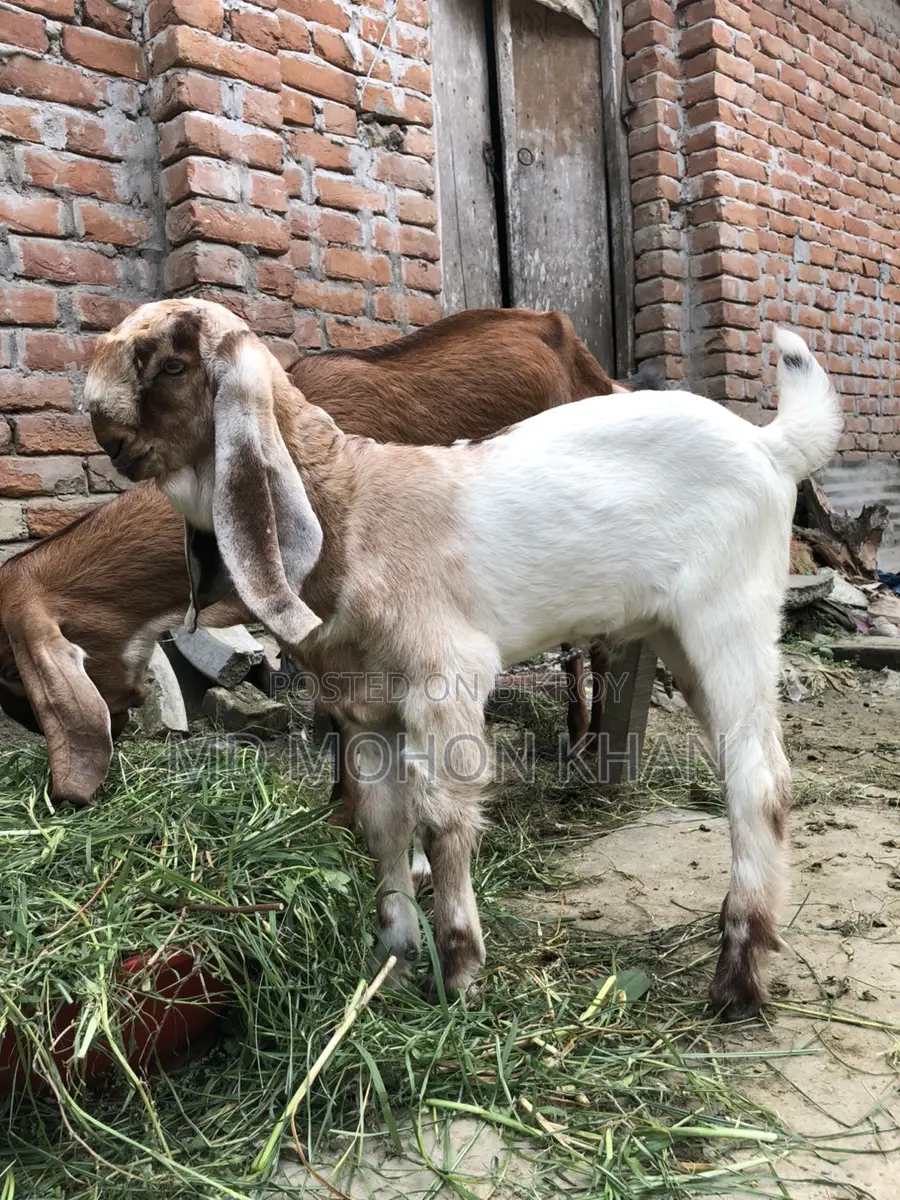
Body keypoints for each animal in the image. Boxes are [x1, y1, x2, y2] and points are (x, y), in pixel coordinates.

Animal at [85, 298, 842, 1020]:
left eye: (172, 364)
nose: (105, 432)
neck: (350, 504)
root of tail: (770, 445)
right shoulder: (363, 706)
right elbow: (382, 825)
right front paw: (392, 960)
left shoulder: (445, 677)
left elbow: (442, 822)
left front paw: (459, 973)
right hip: (677, 638)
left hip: (730, 619)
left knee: (760, 778)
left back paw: (737, 981)